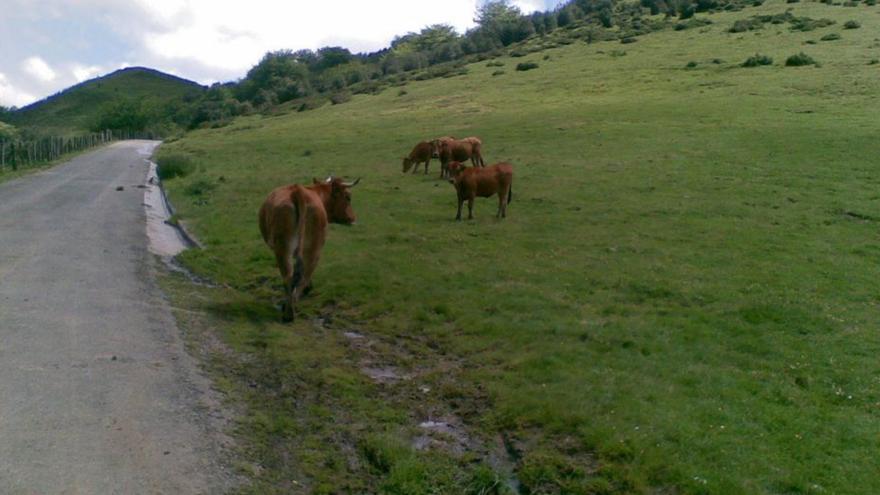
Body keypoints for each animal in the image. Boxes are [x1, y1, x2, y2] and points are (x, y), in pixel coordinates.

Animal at [258, 176, 360, 324]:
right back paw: (290, 309)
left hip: (287, 248)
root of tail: (298, 191)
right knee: (301, 275)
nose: (353, 218)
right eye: (348, 197)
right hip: (313, 248)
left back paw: (289, 309)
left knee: (292, 275)